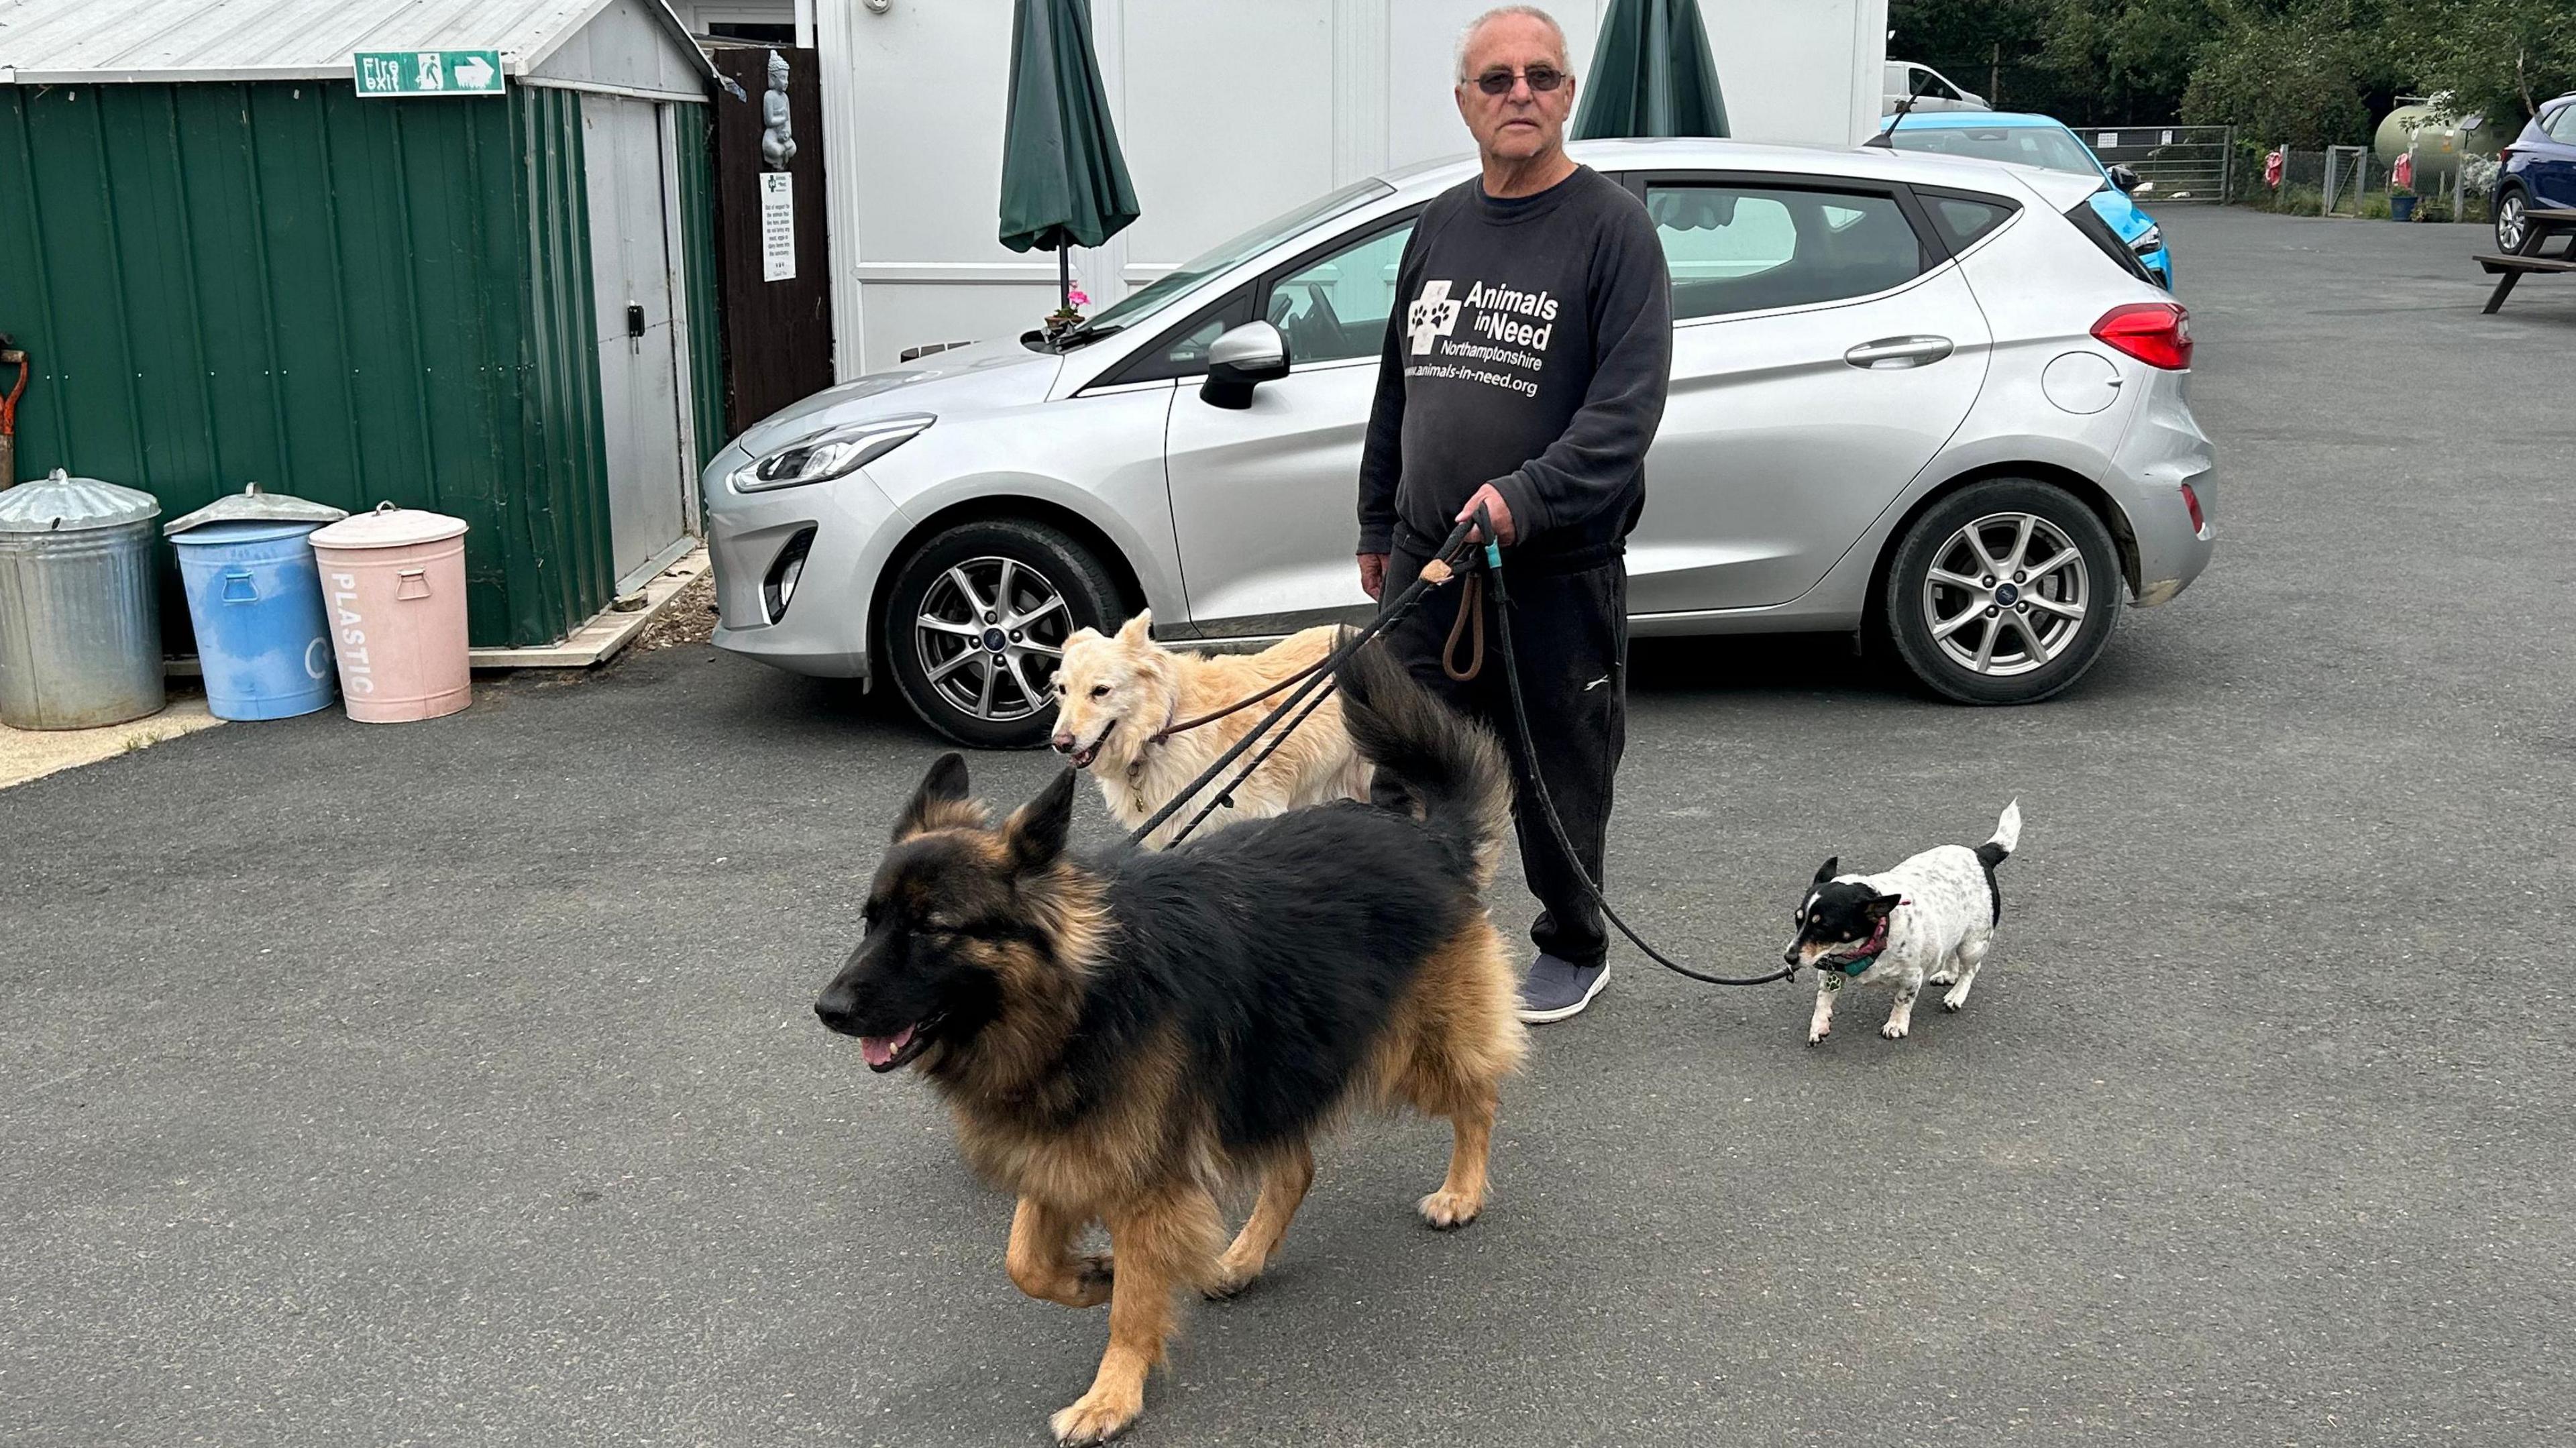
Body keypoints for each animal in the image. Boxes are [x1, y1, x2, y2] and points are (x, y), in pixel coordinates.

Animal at [814, 644, 1514, 1443]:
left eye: (932, 928)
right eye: (870, 921)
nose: (827, 1009)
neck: (1081, 1000)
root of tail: (1428, 837)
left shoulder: (1142, 1181)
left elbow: (1131, 1306)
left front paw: (1112, 1393)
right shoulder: (1065, 1151)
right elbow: (1024, 1260)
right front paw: (1092, 1274)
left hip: (1415, 1048)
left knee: (1478, 1098)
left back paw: (1463, 1190)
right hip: (1269, 1065)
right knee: (1296, 1167)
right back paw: (1241, 1258)